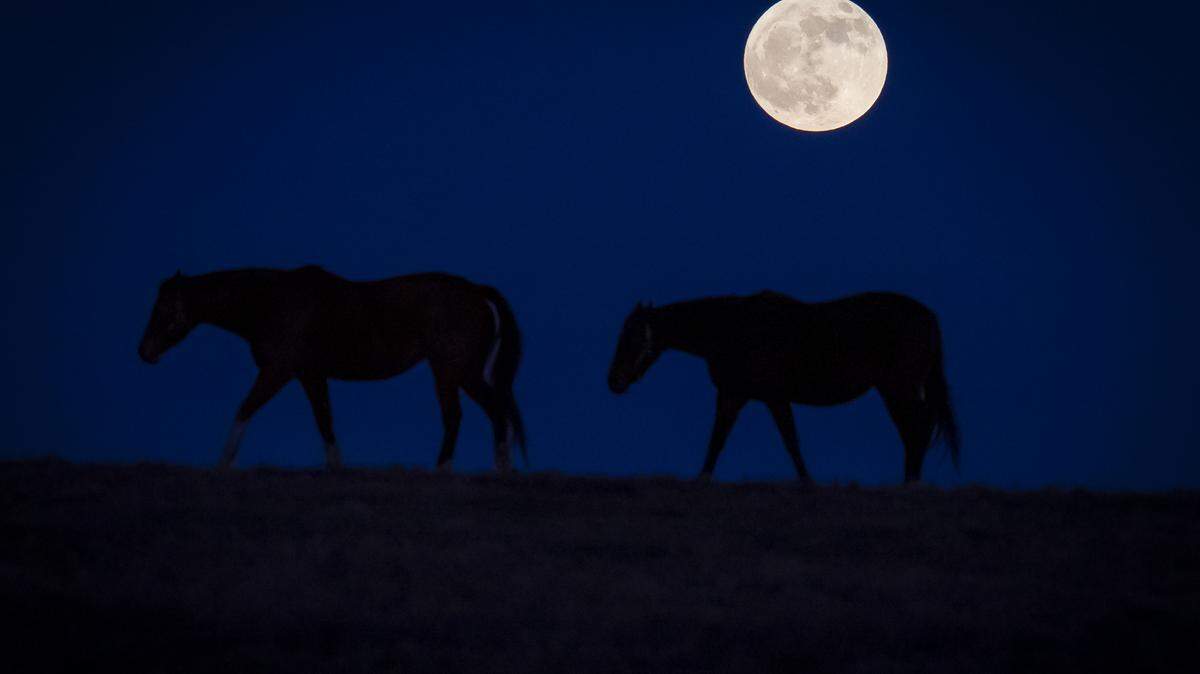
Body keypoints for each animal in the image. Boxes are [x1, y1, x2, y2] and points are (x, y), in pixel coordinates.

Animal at [138, 266, 526, 472]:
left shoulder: (277, 372)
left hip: (454, 372)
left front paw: (221, 465)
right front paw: (338, 469)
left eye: (163, 308)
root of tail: (475, 291)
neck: (271, 303)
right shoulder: (311, 376)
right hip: (456, 373)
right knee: (480, 413)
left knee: (476, 413)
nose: (144, 352)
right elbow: (325, 421)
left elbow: (244, 409)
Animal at [607, 291, 959, 484]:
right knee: (913, 431)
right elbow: (717, 440)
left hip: (899, 388)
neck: (732, 328)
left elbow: (790, 441)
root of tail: (928, 317)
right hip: (894, 390)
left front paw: (808, 482)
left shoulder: (773, 398)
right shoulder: (734, 396)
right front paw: (702, 478)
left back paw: (911, 482)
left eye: (632, 336)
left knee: (918, 429)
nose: (614, 381)